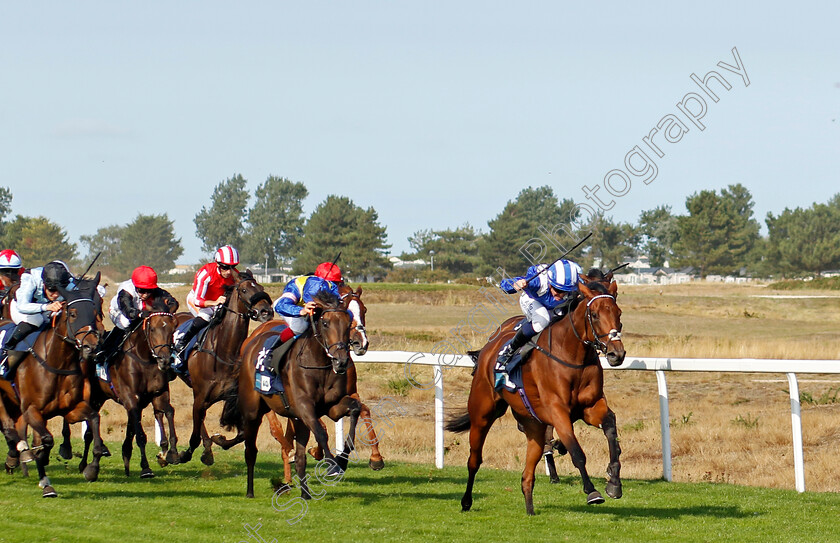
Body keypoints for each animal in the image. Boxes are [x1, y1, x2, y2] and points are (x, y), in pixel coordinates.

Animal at [0, 276, 106, 498]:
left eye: (94, 312)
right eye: (73, 314)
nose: (91, 347)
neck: (57, 363)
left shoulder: (71, 408)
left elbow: (93, 419)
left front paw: (92, 469)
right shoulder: (31, 409)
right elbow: (45, 441)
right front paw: (46, 482)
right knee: (7, 423)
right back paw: (17, 450)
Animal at [175, 270, 272, 466]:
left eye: (260, 287)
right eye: (244, 290)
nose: (267, 311)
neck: (224, 354)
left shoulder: (232, 397)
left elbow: (241, 435)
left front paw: (218, 440)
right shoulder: (201, 397)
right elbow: (194, 437)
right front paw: (183, 455)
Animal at [213, 292, 360, 500]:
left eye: (348, 323)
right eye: (325, 323)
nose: (341, 361)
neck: (318, 365)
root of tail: (250, 344)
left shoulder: (331, 407)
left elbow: (355, 409)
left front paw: (343, 459)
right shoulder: (304, 407)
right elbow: (321, 432)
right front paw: (332, 466)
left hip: (296, 420)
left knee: (299, 458)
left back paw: (305, 494)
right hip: (253, 411)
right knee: (250, 450)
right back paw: (250, 491)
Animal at [446, 280, 624, 516]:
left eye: (618, 313)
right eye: (594, 314)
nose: (616, 354)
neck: (571, 355)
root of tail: (489, 347)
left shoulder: (591, 406)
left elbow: (611, 429)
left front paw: (614, 482)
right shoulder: (557, 410)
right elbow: (576, 451)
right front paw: (592, 491)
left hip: (533, 426)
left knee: (527, 472)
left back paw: (530, 508)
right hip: (481, 414)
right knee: (474, 460)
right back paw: (466, 501)